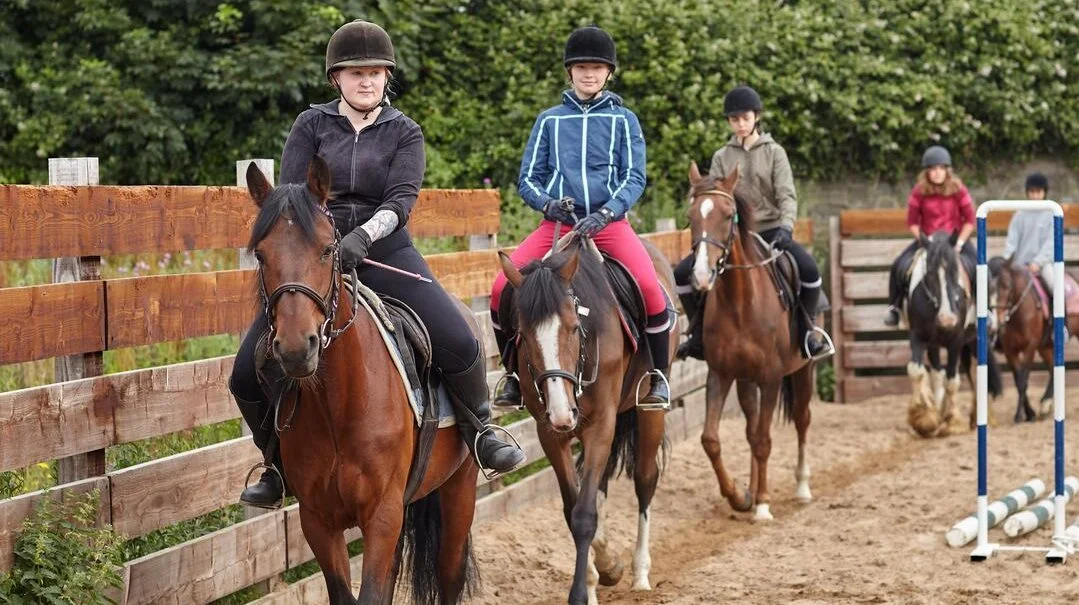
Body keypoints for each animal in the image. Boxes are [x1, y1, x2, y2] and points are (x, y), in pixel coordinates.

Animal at [248, 159, 481, 603]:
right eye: (261, 255)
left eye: (328, 249)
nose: (295, 348)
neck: (337, 405)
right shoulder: (317, 521)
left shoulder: (382, 517)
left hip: (459, 487)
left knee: (449, 573)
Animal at [498, 228, 673, 599]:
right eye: (523, 335)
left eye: (574, 327)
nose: (562, 413)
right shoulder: (549, 433)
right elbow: (574, 506)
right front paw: (600, 572)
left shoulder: (601, 425)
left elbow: (583, 515)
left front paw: (582, 592)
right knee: (603, 486)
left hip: (648, 412)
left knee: (645, 479)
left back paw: (640, 572)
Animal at [686, 162, 811, 521]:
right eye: (691, 215)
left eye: (729, 215)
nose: (701, 276)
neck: (741, 302)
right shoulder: (721, 373)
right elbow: (711, 439)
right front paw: (739, 496)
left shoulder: (771, 378)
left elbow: (765, 440)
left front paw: (764, 506)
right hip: (745, 381)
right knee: (752, 429)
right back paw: (753, 492)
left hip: (804, 369)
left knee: (801, 419)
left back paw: (801, 487)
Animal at [988, 256, 1074, 422]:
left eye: (1006, 285)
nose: (998, 319)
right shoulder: (1010, 351)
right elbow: (1018, 380)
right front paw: (1029, 413)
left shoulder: (1030, 347)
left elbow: (1024, 380)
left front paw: (1020, 415)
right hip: (1045, 347)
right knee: (1053, 368)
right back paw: (1045, 404)